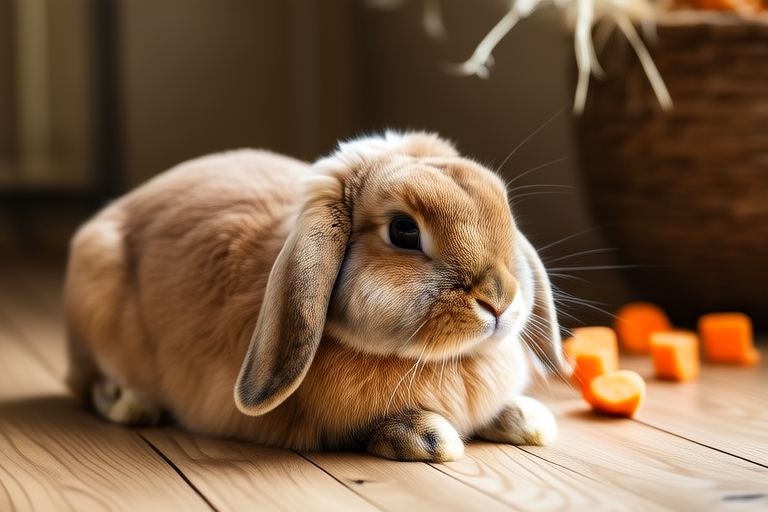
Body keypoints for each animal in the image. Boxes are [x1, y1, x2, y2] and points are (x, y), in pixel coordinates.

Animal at [64, 131, 567, 462]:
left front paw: (530, 420)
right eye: (404, 231)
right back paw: (132, 404)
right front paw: (428, 438)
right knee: (92, 386)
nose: (500, 299)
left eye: (503, 211)